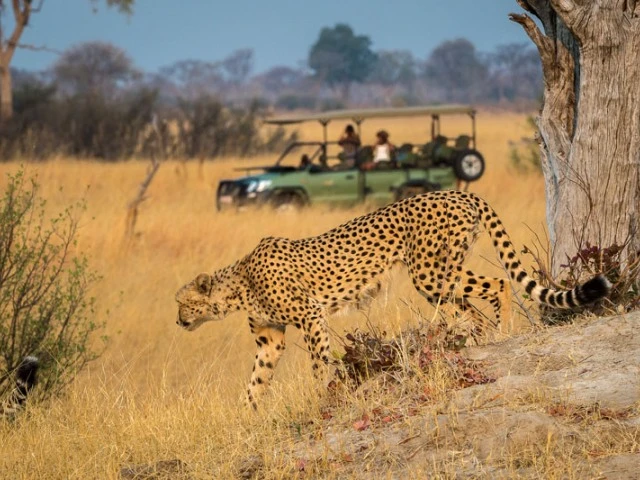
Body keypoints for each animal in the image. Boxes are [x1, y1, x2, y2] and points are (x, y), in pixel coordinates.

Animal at [175, 191, 610, 409]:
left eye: (182, 303)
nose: (178, 322)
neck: (239, 283)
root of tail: (457, 190)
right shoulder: (271, 338)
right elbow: (255, 381)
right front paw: (248, 418)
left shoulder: (312, 316)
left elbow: (317, 364)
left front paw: (317, 397)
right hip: (439, 275)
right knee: (473, 310)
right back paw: (478, 339)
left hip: (431, 273)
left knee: (499, 284)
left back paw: (502, 332)